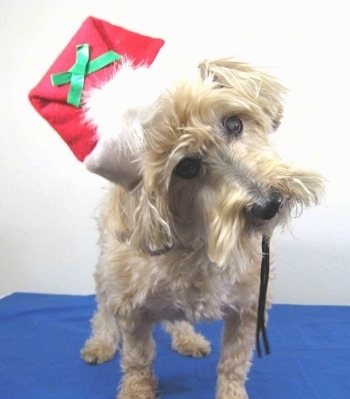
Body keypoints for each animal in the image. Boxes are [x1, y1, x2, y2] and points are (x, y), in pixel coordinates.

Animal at [80, 57, 324, 399]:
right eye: (186, 166)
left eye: (233, 124)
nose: (270, 204)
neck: (201, 237)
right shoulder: (131, 307)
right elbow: (138, 359)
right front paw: (136, 390)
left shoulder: (248, 308)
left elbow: (234, 363)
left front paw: (231, 391)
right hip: (107, 275)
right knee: (103, 311)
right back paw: (101, 343)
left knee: (174, 317)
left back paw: (187, 337)